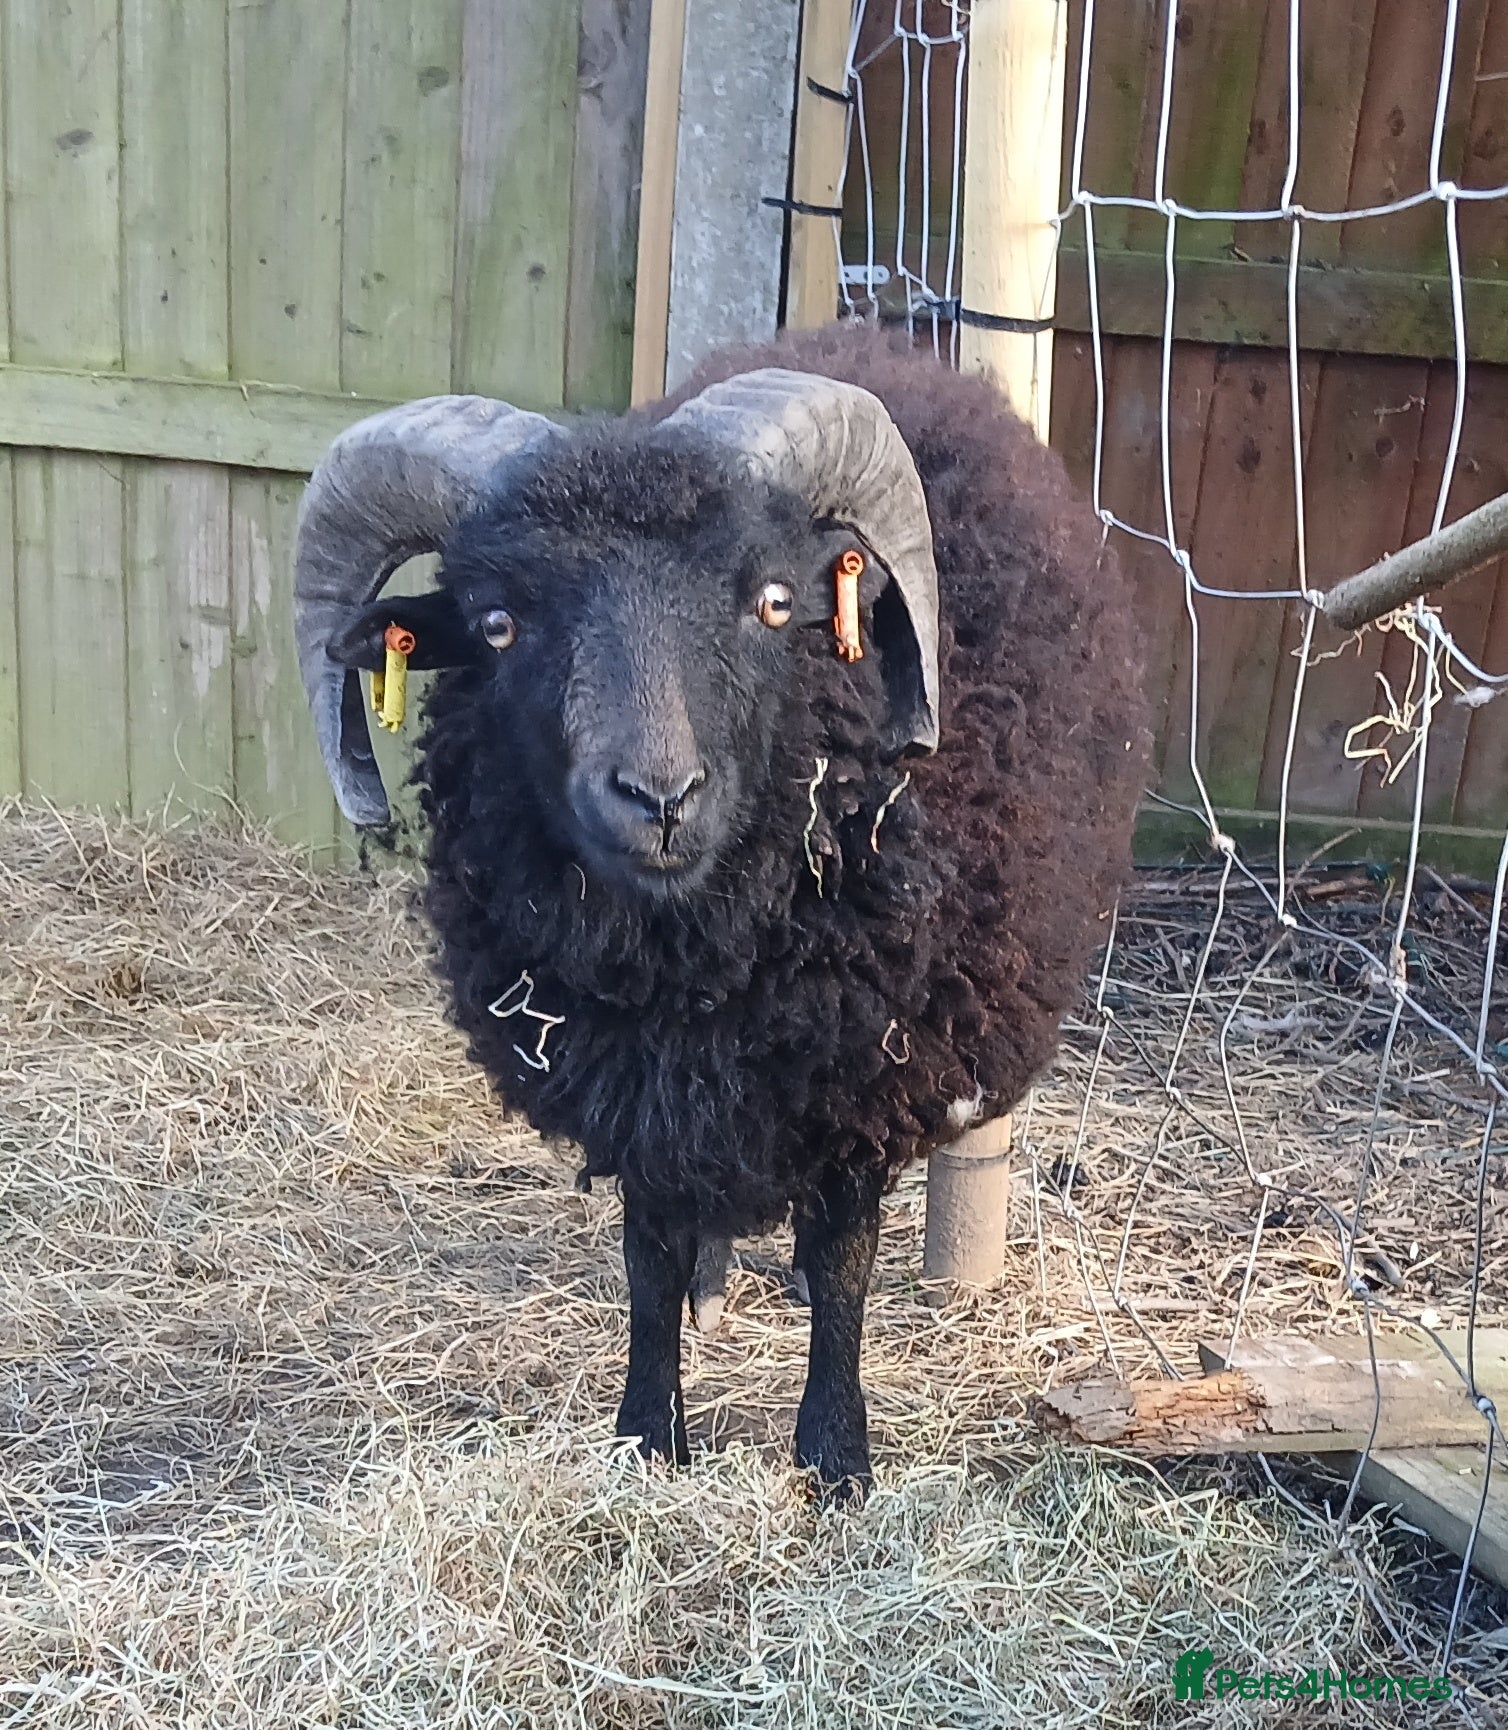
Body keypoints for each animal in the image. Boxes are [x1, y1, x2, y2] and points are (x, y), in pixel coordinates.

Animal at [294, 323, 1149, 1495]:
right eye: (499, 624)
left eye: (773, 604)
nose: (659, 797)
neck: (689, 957)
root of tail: (876, 339)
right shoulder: (628, 1081)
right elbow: (649, 1258)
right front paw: (648, 1438)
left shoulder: (860, 1073)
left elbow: (840, 1264)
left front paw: (835, 1460)